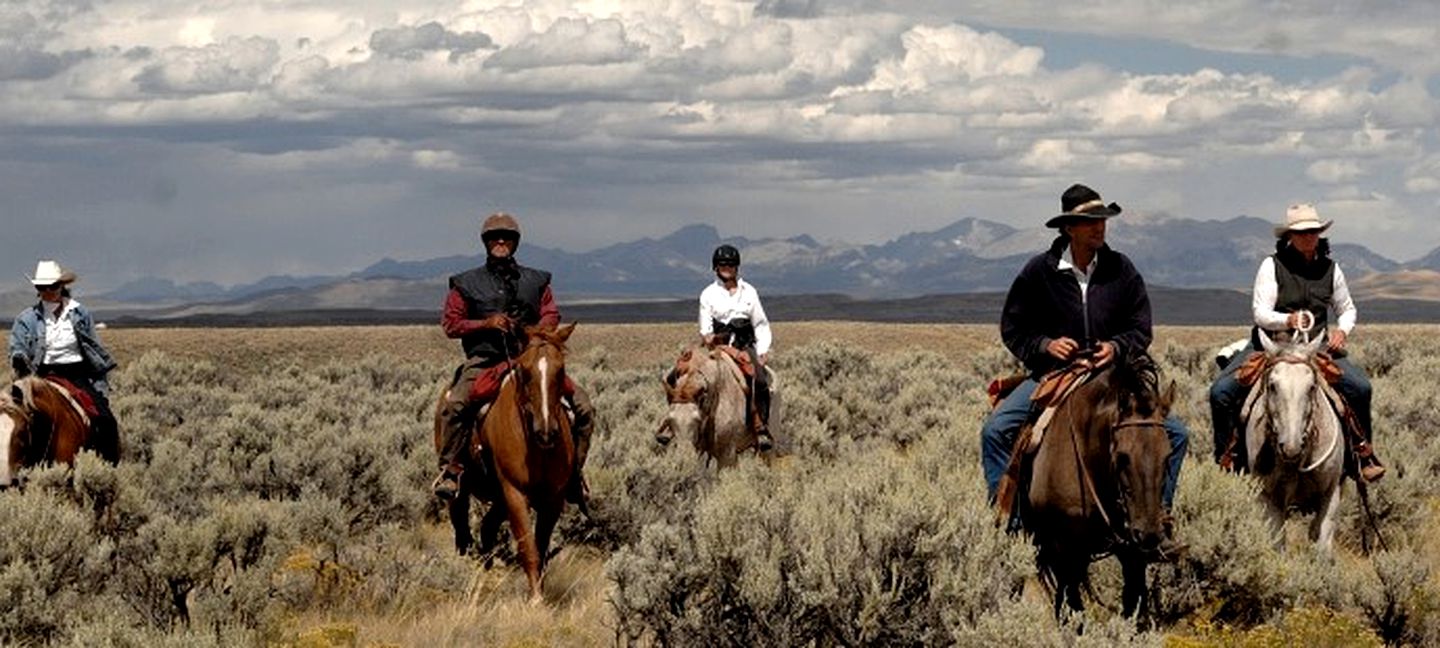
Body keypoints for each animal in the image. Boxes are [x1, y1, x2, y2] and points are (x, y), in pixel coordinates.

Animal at [432, 322, 578, 601]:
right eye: (524, 370)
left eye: (561, 369)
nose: (546, 432)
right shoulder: (515, 493)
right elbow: (528, 548)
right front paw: (536, 599)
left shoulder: (553, 498)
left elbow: (541, 548)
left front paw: (539, 592)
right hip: (462, 488)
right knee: (462, 531)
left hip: (498, 498)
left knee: (487, 528)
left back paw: (486, 569)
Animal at [1019, 354, 1175, 616]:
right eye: (1122, 456)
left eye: (1168, 456)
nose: (1149, 534)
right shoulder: (1065, 550)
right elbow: (1072, 609)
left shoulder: (1131, 552)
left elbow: (1134, 602)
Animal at [1244, 329, 1342, 552]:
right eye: (1272, 386)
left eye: (1312, 387)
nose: (1291, 447)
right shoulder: (1269, 499)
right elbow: (1277, 543)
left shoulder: (1331, 493)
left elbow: (1322, 546)